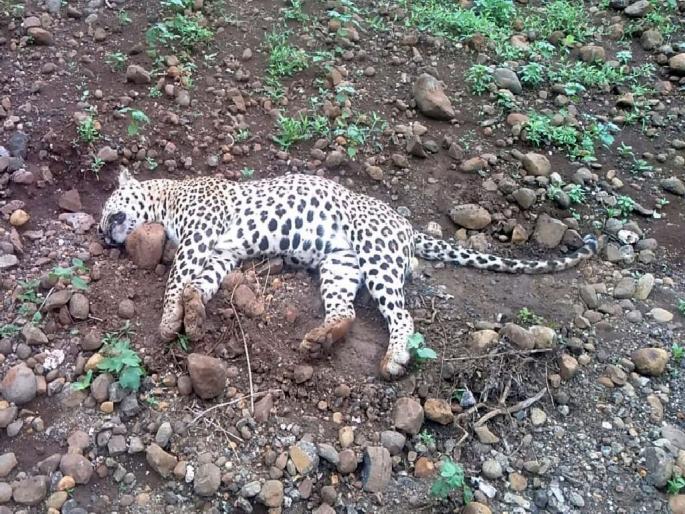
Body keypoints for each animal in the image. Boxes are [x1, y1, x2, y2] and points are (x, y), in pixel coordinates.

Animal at [99, 169, 598, 379]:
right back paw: (321, 339)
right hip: (340, 267)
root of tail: (407, 226)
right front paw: (194, 313)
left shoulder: (201, 239)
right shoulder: (222, 251)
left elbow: (176, 279)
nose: (103, 236)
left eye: (106, 210)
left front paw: (169, 319)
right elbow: (200, 284)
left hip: (376, 258)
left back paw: (393, 359)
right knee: (347, 314)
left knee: (402, 317)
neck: (168, 197)